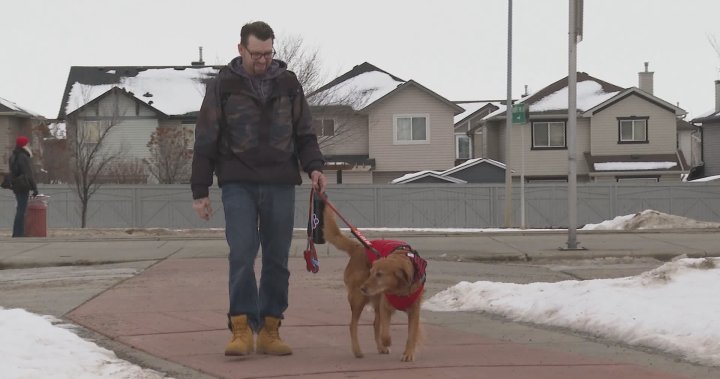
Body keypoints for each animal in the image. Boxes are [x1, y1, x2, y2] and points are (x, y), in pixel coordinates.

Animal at [322, 205, 428, 362]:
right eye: (371, 272)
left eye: (379, 275)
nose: (362, 288)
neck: (400, 290)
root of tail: (358, 247)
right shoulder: (385, 306)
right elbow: (385, 331)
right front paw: (387, 341)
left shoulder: (414, 310)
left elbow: (411, 334)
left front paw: (408, 353)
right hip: (359, 300)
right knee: (353, 325)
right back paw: (358, 350)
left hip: (375, 300)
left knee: (374, 324)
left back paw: (380, 347)